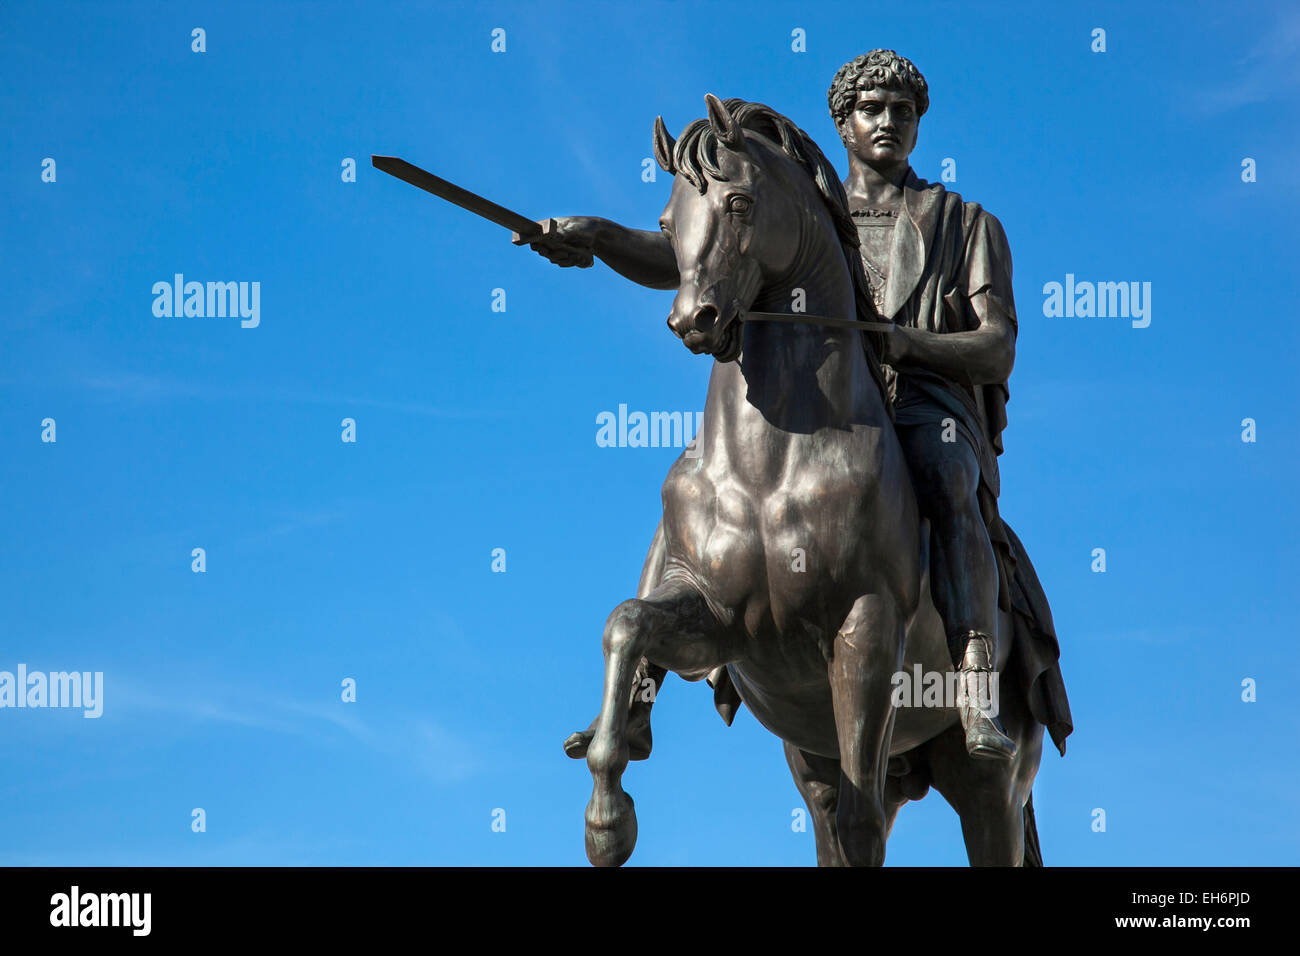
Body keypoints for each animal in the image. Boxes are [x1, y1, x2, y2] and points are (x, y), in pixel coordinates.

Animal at [579, 97, 1045, 868]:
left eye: (739, 203)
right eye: (669, 224)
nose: (692, 319)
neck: (771, 466)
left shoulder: (867, 630)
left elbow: (861, 827)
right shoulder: (720, 621)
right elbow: (628, 622)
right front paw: (608, 816)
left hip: (993, 785)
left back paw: (984, 721)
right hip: (820, 755)